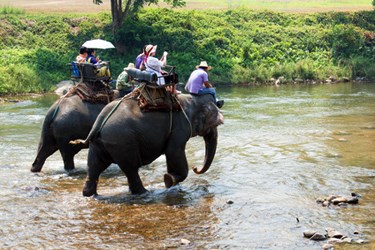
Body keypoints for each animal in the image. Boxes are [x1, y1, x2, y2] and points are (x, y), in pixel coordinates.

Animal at [70, 93, 223, 196]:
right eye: (213, 125)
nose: (195, 167)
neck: (192, 100)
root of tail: (100, 121)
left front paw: (171, 182)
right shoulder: (181, 127)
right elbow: (173, 150)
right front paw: (169, 180)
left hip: (100, 143)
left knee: (94, 166)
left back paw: (90, 194)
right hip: (122, 142)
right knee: (130, 169)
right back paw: (144, 193)